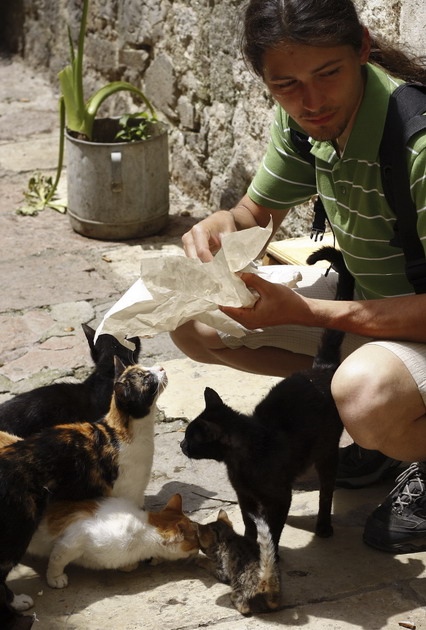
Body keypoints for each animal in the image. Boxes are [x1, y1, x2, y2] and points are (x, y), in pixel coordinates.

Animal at [28, 494, 198, 592]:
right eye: (196, 543)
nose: (199, 550)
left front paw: (129, 565)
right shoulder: (74, 538)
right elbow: (57, 559)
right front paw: (55, 577)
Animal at [181, 249, 354, 556]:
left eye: (192, 438)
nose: (181, 445)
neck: (241, 459)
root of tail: (321, 369)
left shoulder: (279, 497)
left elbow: (273, 528)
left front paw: (269, 554)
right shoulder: (244, 496)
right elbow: (250, 522)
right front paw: (250, 545)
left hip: (327, 452)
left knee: (326, 492)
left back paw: (323, 526)